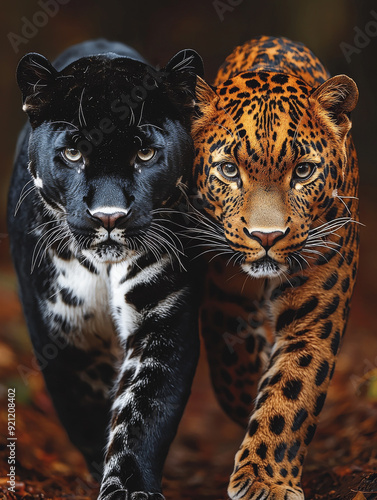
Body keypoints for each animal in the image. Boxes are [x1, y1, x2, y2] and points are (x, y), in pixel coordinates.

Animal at [6, 40, 203, 500]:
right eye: (73, 153)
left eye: (144, 152)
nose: (109, 216)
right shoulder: (63, 334)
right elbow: (86, 407)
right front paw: (102, 469)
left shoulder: (163, 316)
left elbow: (142, 411)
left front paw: (128, 487)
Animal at [191, 36, 358, 500]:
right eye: (229, 170)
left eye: (303, 171)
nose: (267, 237)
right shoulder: (221, 300)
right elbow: (232, 366)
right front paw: (251, 388)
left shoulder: (315, 315)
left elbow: (293, 386)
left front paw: (266, 479)